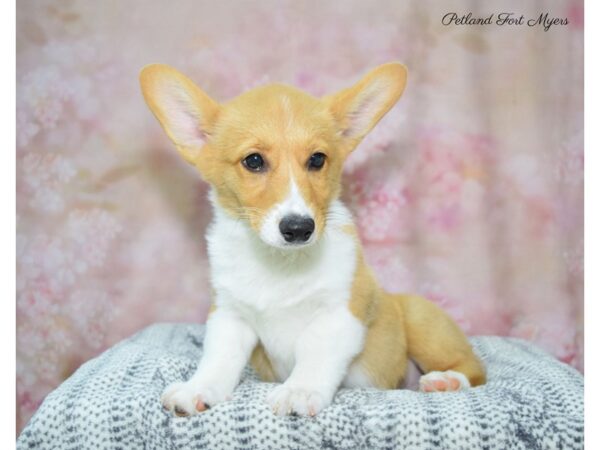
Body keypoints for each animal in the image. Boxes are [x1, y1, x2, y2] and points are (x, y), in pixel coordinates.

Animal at [138, 61, 486, 416]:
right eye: (253, 161)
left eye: (317, 159)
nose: (298, 229)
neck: (278, 263)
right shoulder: (229, 315)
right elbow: (219, 358)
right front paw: (198, 388)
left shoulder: (339, 313)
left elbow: (314, 354)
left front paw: (299, 391)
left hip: (422, 321)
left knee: (475, 369)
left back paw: (446, 380)